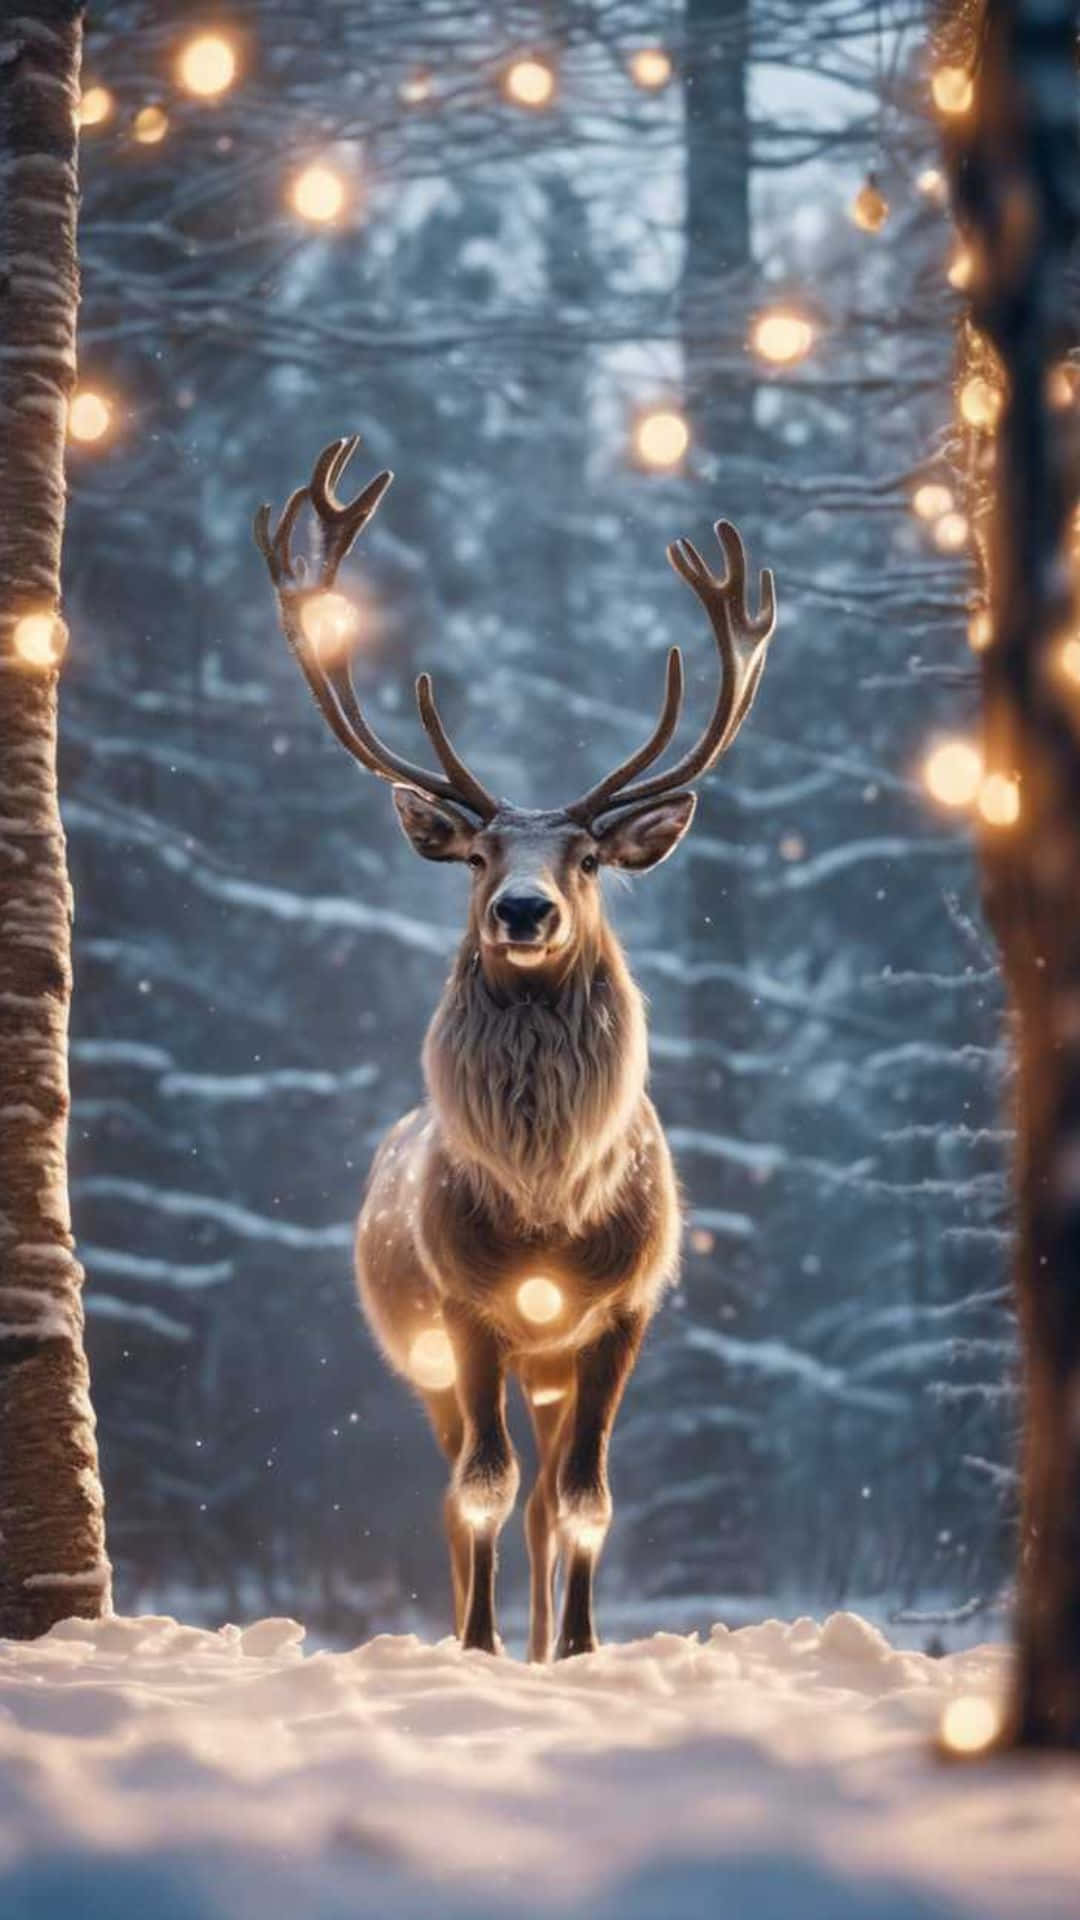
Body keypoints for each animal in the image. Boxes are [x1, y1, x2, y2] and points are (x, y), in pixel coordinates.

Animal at [254, 439, 776, 1661]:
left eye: (586, 857)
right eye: (481, 853)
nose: (525, 910)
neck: (548, 1204)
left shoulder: (626, 1308)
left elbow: (585, 1497)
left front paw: (575, 1650)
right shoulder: (465, 1307)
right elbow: (479, 1491)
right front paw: (481, 1650)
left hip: (551, 1364)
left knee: (544, 1494)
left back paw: (547, 1635)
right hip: (432, 1358)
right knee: (462, 1485)